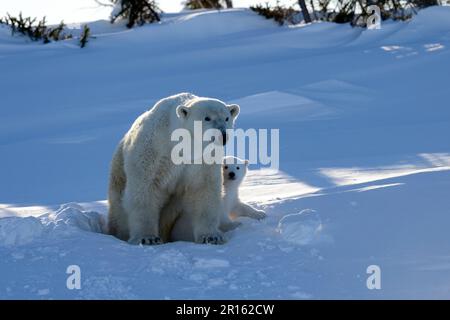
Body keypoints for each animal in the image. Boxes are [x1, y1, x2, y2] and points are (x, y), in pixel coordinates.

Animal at [107, 92, 239, 245]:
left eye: (227, 118)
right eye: (207, 118)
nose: (222, 135)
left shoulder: (202, 160)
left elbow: (204, 189)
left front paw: (211, 236)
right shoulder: (154, 150)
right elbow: (145, 188)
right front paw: (147, 238)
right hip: (118, 178)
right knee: (119, 213)